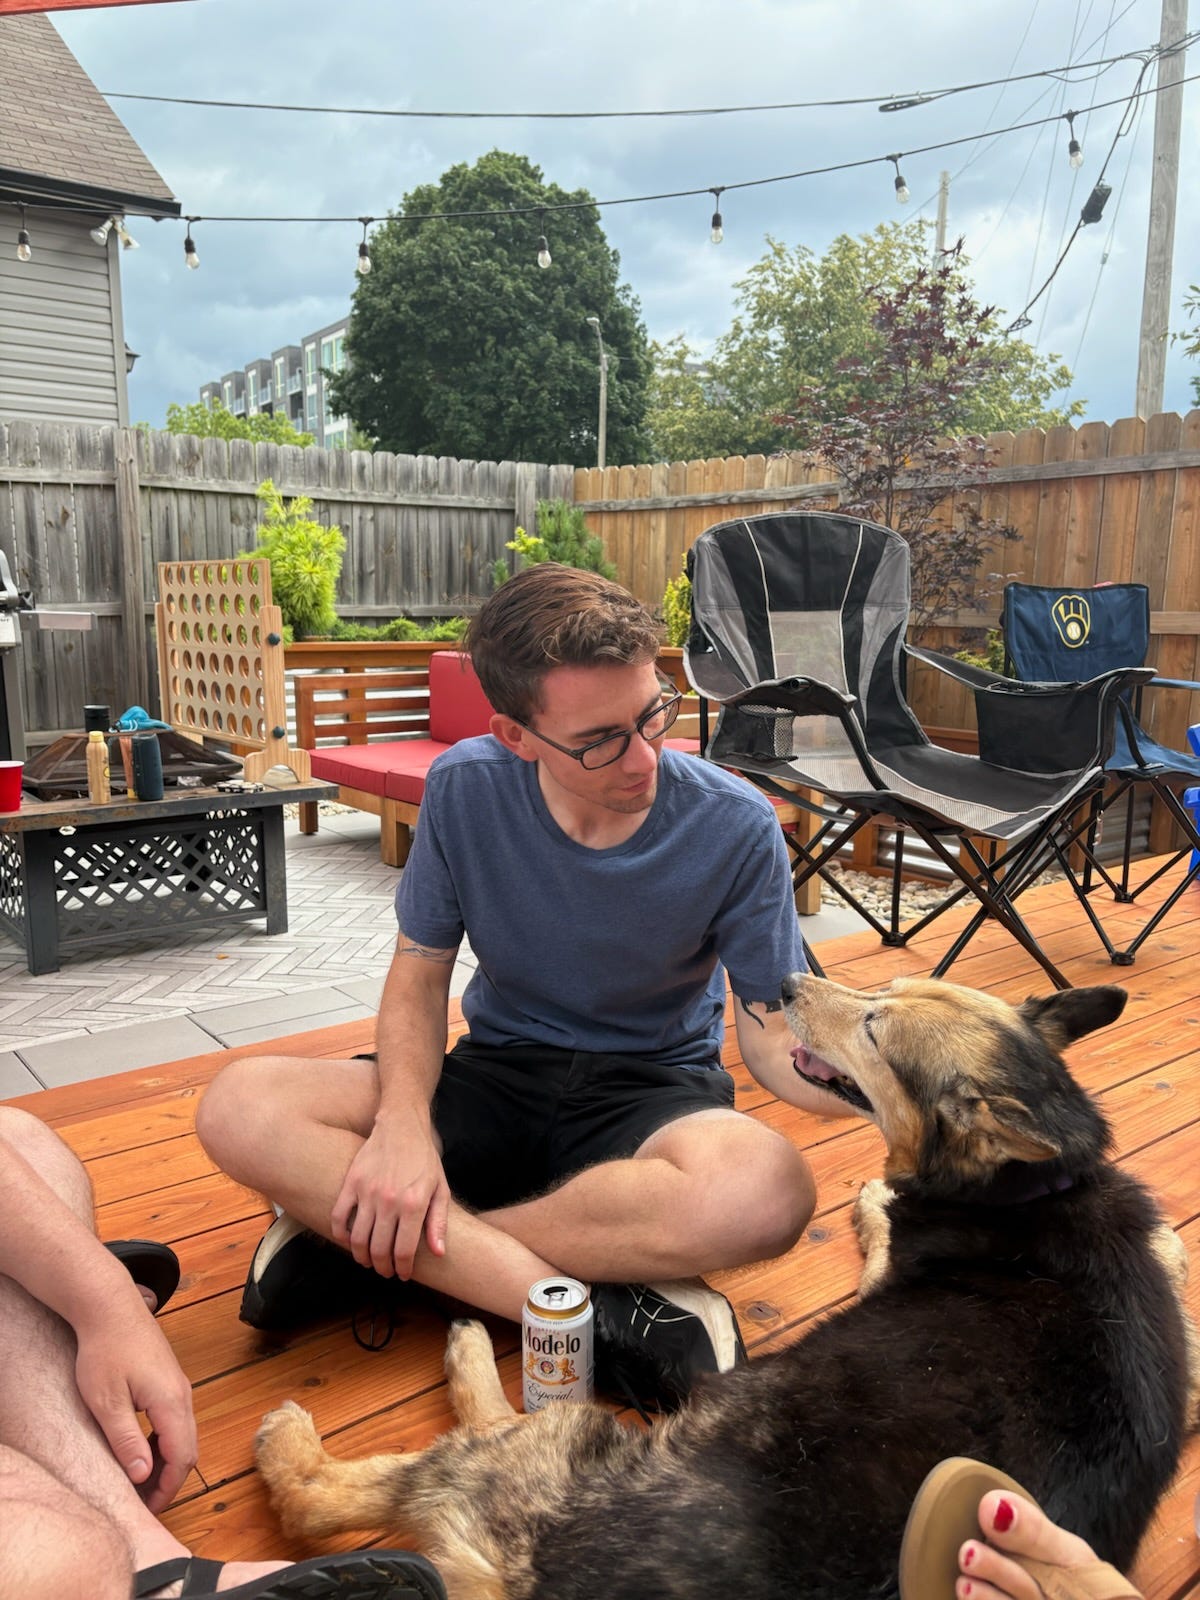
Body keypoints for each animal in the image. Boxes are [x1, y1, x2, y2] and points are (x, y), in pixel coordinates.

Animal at [255, 975, 1199, 1600]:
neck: (1043, 1185)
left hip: (550, 1445)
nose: (785, 982)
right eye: (885, 989)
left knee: (339, 1492)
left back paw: (353, 1407)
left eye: (875, 1029)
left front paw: (876, 1196)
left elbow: (882, 1215)